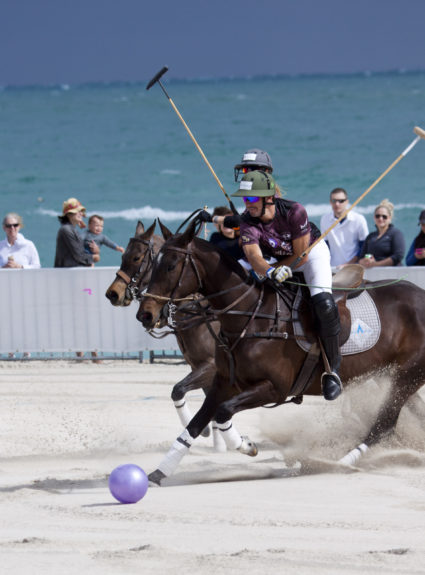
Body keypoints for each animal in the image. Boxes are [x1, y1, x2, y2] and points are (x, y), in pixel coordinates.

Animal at [104, 220, 253, 450]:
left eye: (136, 258)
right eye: (122, 257)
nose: (113, 293)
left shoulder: (210, 366)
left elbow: (179, 389)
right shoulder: (199, 367)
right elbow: (204, 401)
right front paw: (219, 438)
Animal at [138, 220, 424, 486]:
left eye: (170, 266)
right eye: (154, 264)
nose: (145, 314)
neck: (250, 316)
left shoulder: (275, 388)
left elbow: (222, 412)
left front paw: (246, 445)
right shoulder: (223, 381)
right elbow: (195, 424)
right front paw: (158, 473)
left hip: (407, 374)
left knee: (384, 425)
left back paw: (337, 462)